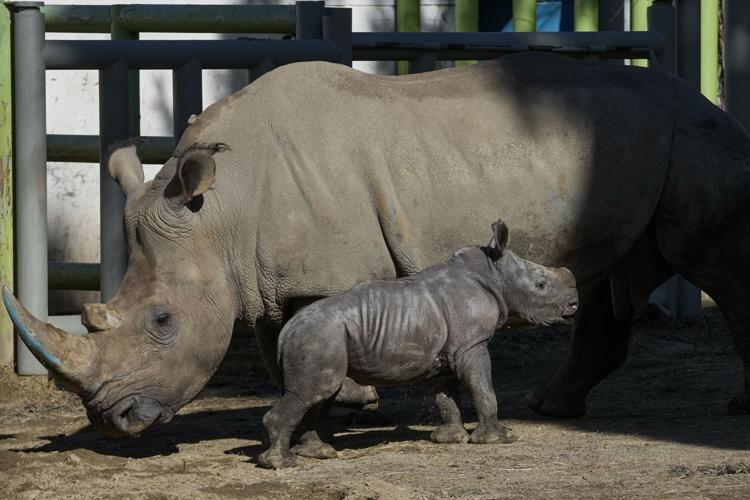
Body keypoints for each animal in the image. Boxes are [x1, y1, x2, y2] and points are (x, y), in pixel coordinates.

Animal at [5, 53, 750, 438]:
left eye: (162, 321)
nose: (114, 422)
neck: (222, 214)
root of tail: (701, 96)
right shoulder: (263, 274)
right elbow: (276, 347)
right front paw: (326, 415)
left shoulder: (322, 272)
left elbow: (307, 335)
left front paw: (349, 406)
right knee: (606, 277)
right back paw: (549, 407)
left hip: (691, 137)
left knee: (712, 260)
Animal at [259, 220, 578, 469]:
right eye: (541, 286)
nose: (575, 303)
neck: (493, 274)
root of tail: (286, 331)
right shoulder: (472, 344)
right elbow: (483, 388)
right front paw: (501, 438)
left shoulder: (449, 352)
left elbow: (446, 395)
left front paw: (450, 439)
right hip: (319, 336)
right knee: (313, 393)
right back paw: (283, 463)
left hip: (320, 337)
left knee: (320, 394)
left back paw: (319, 454)